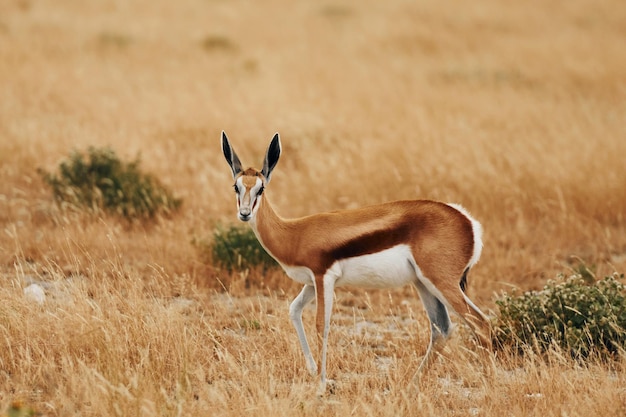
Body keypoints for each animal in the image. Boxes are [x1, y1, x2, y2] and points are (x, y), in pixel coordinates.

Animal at [222, 131, 490, 394]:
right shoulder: (310, 282)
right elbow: (294, 310)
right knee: (442, 329)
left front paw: (321, 386)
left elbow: (321, 325)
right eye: (236, 186)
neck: (295, 233)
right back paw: (409, 387)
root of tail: (467, 221)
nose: (244, 213)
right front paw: (313, 372)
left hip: (442, 283)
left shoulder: (323, 277)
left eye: (261, 189)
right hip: (423, 284)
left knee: (481, 323)